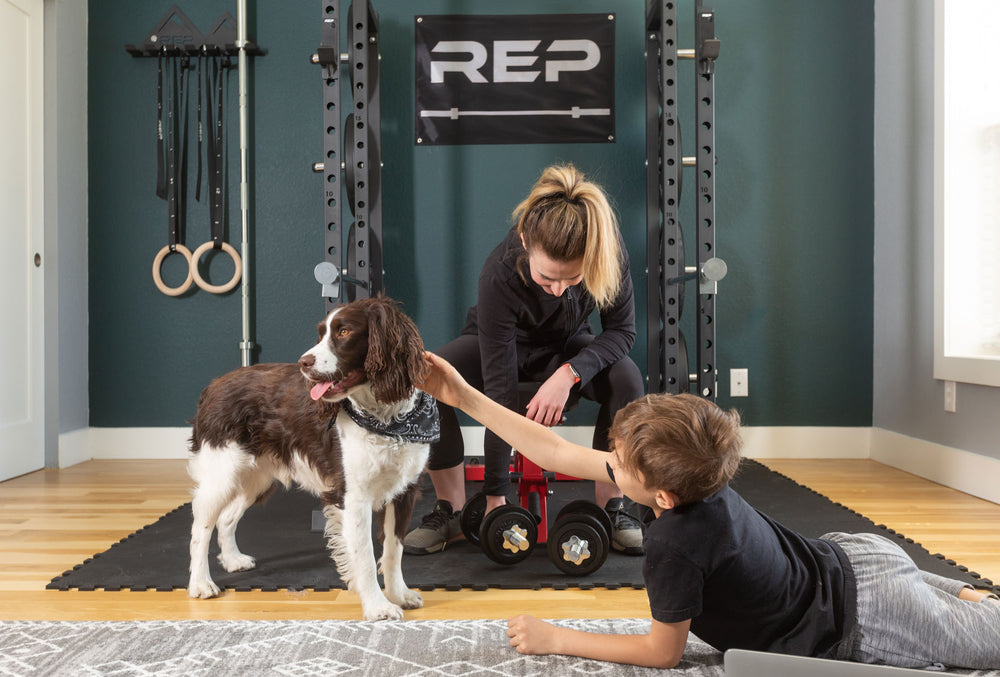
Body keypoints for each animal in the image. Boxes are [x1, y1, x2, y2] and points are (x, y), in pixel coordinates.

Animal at [188, 296, 438, 616]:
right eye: (321, 334)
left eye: (344, 332)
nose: (303, 363)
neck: (384, 418)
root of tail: (213, 386)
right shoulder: (353, 497)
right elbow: (366, 558)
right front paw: (377, 607)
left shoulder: (405, 490)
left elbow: (394, 550)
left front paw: (399, 595)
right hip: (222, 475)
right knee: (201, 528)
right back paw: (200, 584)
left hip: (255, 478)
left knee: (227, 518)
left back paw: (233, 560)